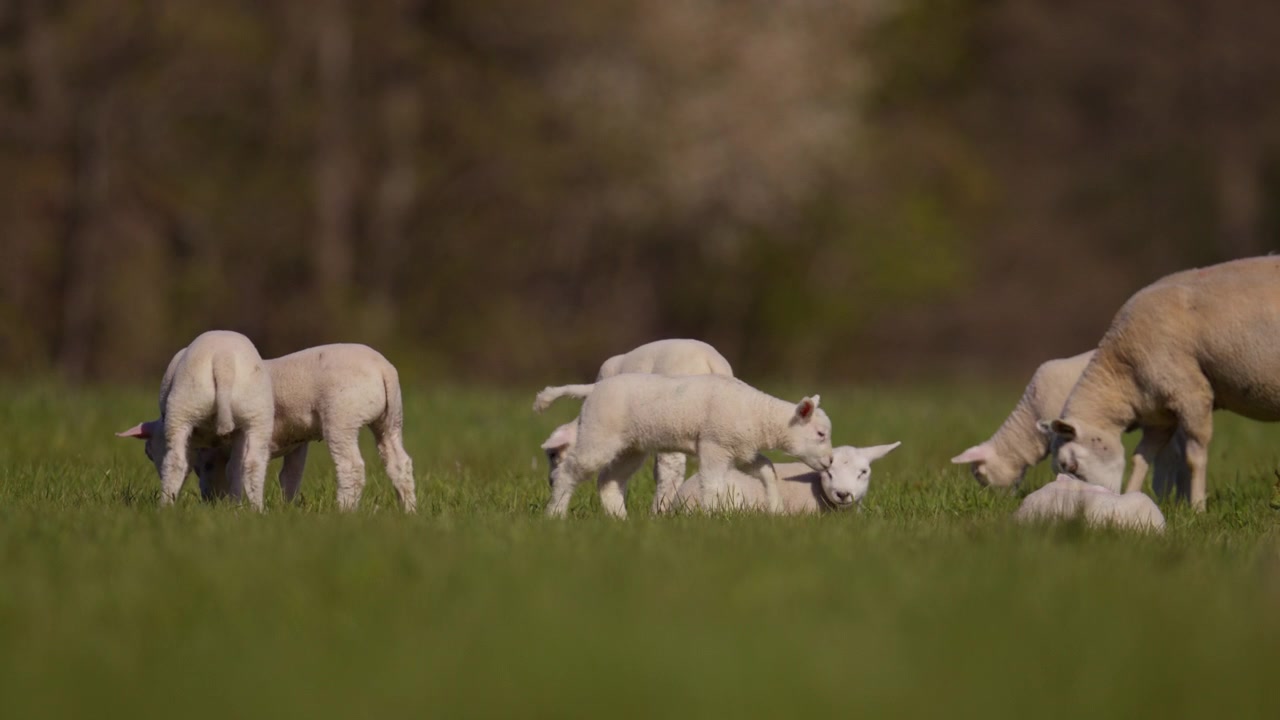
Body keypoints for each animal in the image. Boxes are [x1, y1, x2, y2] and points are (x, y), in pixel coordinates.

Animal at [116, 330, 274, 509]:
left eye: (149, 452)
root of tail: (223, 359)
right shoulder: (239, 433)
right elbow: (235, 468)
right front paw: (236, 505)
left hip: (183, 406)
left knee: (176, 462)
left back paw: (165, 505)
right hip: (258, 413)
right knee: (254, 464)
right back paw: (257, 510)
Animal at [191, 343, 416, 512]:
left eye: (204, 467)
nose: (209, 501)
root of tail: (383, 369)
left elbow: (240, 470)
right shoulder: (297, 441)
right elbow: (290, 476)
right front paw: (288, 509)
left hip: (341, 419)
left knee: (351, 467)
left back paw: (343, 511)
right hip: (391, 420)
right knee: (399, 463)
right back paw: (408, 511)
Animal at [532, 374, 833, 518]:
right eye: (820, 434)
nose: (830, 462)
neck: (757, 414)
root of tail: (592, 389)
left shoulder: (740, 450)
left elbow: (768, 469)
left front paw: (776, 509)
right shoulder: (714, 445)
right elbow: (712, 484)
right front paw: (713, 515)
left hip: (630, 447)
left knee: (608, 480)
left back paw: (620, 520)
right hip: (599, 434)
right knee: (568, 472)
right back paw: (555, 514)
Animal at [1043, 256, 1280, 511]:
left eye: (1072, 466)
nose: (1082, 500)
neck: (1122, 372)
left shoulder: (1191, 393)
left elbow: (1194, 457)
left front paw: (1198, 507)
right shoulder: (1159, 414)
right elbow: (1141, 457)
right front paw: (1130, 497)